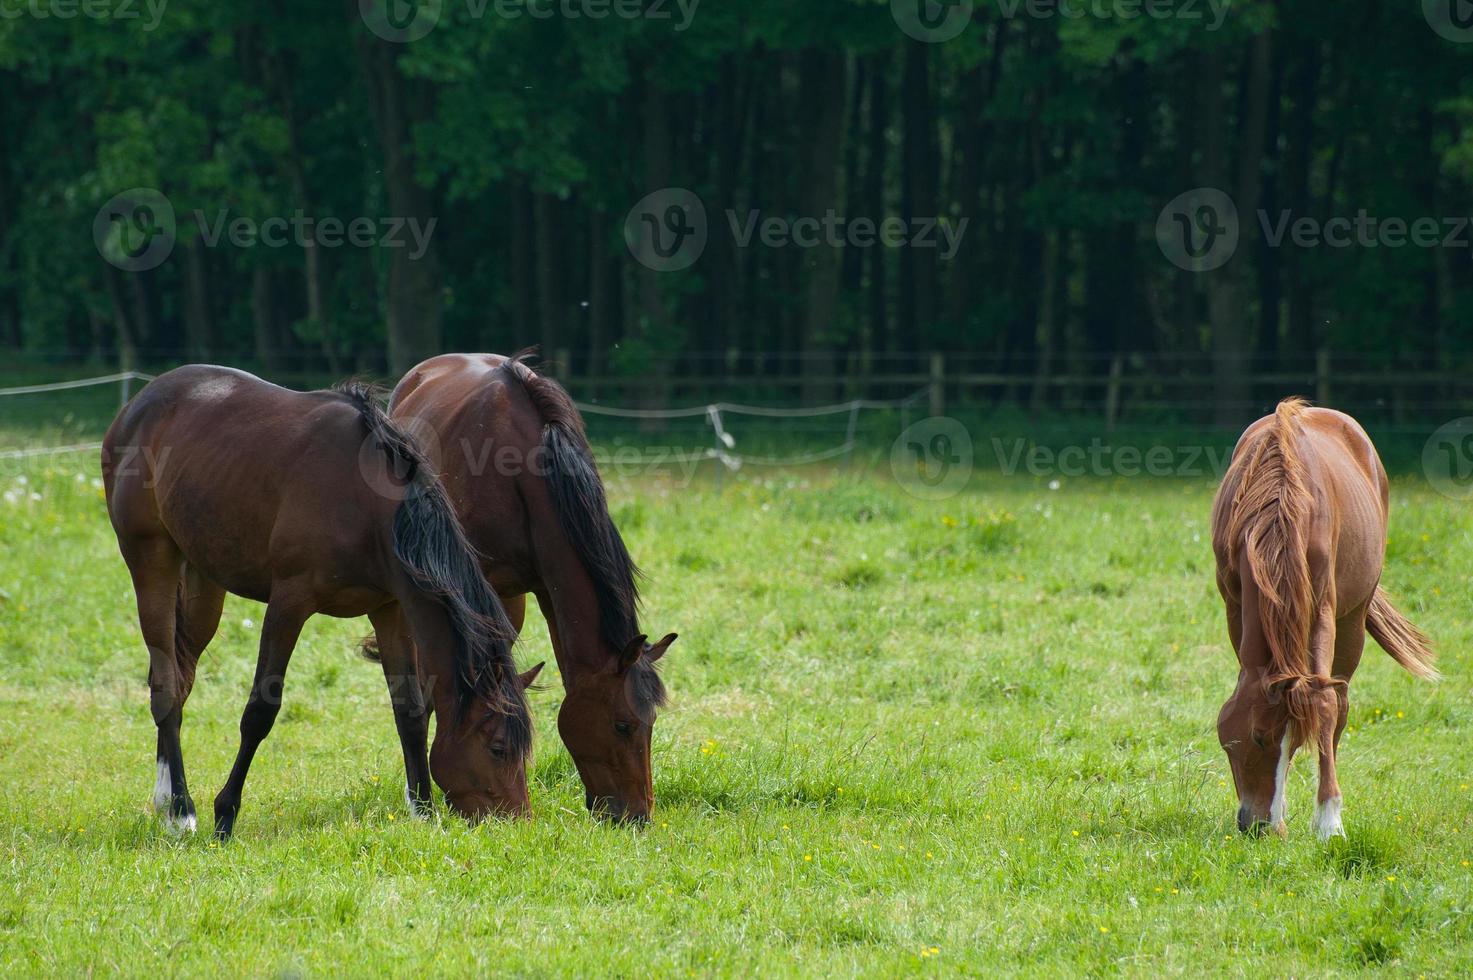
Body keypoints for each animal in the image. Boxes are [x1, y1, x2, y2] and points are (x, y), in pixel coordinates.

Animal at [103, 362, 542, 837]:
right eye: (498, 748)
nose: (518, 820)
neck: (369, 507)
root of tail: (137, 406)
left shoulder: (389, 610)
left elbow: (409, 710)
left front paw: (423, 811)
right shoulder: (289, 603)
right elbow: (261, 710)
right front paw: (225, 814)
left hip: (203, 581)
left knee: (178, 679)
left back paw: (167, 800)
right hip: (151, 559)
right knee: (166, 685)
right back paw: (182, 810)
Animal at [1207, 400, 1437, 842]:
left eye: (1264, 738)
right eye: (1234, 742)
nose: (1255, 824)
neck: (1276, 505)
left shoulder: (1323, 609)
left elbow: (1324, 704)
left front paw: (1330, 821)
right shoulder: (1233, 603)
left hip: (1353, 619)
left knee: (1340, 699)